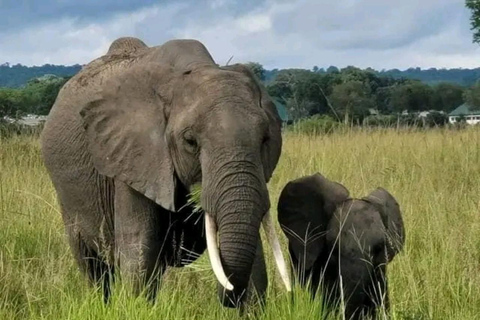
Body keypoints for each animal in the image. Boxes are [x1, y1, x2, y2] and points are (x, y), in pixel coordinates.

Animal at [40, 37, 288, 308]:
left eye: (265, 139)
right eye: (190, 141)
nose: (228, 293)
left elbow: (256, 259)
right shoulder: (133, 157)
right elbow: (139, 250)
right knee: (93, 265)